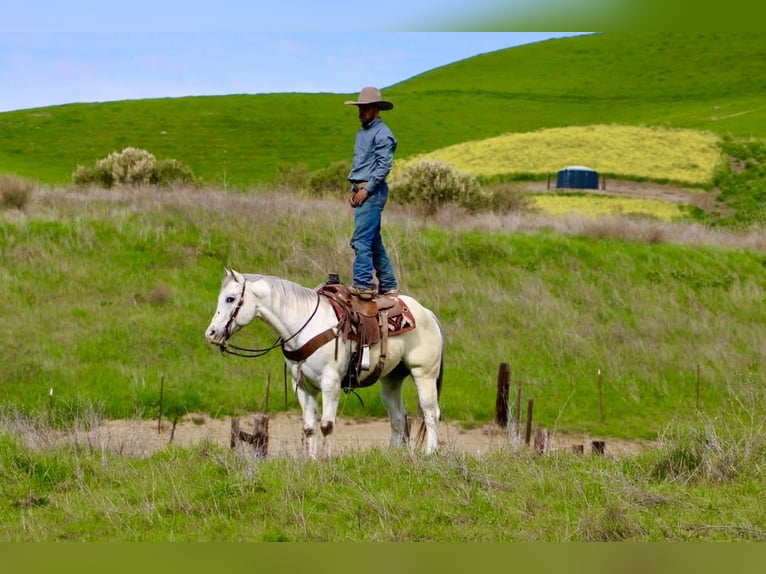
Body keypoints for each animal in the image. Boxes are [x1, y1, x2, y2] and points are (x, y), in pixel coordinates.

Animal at [204, 268, 444, 459]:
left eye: (230, 299)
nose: (211, 333)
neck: (305, 324)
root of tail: (427, 313)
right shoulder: (302, 386)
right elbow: (309, 427)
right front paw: (311, 460)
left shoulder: (331, 383)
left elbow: (327, 425)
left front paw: (326, 460)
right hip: (391, 379)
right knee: (398, 416)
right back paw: (392, 455)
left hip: (424, 374)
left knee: (431, 412)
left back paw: (430, 453)